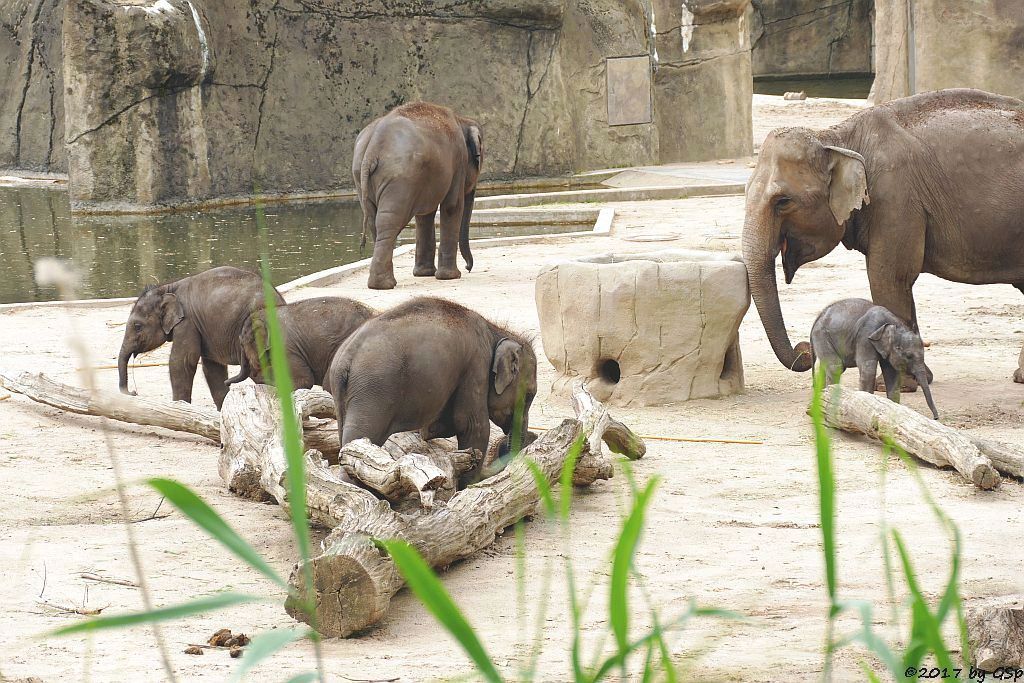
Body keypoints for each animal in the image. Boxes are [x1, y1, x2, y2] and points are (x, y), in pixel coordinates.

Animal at [117, 266, 284, 405]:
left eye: (137, 326)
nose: (133, 392)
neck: (167, 288)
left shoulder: (187, 322)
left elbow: (182, 362)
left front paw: (180, 406)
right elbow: (212, 368)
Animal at [325, 296, 536, 485]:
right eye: (529, 395)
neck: (495, 330)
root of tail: (346, 358)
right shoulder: (476, 365)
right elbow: (472, 426)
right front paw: (467, 486)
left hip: (344, 395)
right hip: (373, 393)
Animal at [354, 100, 481, 288]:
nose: (468, 267)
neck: (461, 120)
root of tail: (372, 149)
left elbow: (424, 216)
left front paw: (424, 274)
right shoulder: (459, 162)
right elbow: (451, 206)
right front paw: (450, 276)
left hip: (364, 179)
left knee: (375, 221)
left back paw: (381, 283)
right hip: (400, 179)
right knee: (389, 220)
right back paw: (385, 284)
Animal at [745, 88, 1024, 376]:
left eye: (782, 201)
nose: (805, 350)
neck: (836, 138)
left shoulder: (896, 198)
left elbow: (888, 278)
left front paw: (894, 380)